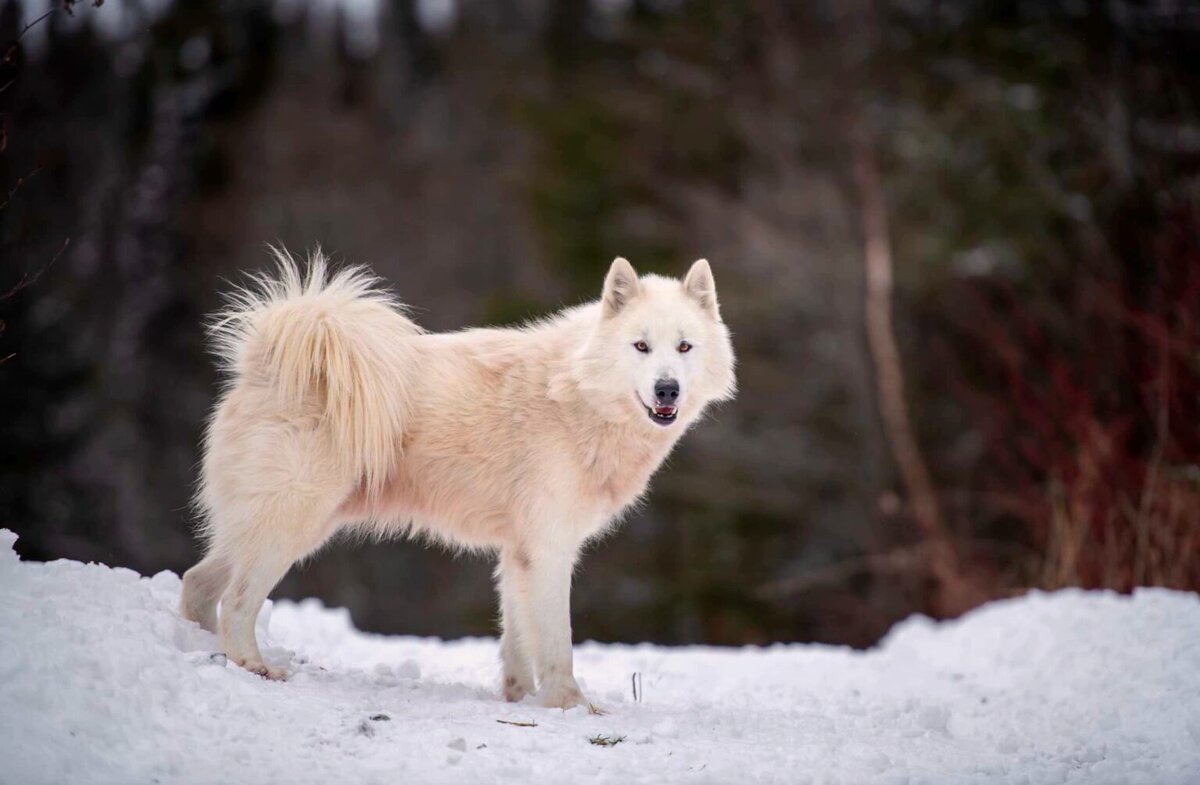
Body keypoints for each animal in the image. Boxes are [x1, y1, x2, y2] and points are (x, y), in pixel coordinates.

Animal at [181, 252, 734, 715]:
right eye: (641, 346)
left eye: (684, 346)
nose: (668, 389)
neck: (575, 395)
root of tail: (265, 361)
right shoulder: (550, 553)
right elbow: (557, 643)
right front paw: (571, 706)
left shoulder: (517, 555)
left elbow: (516, 642)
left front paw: (520, 700)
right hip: (289, 527)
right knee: (237, 600)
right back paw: (253, 666)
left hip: (270, 528)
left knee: (197, 583)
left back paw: (197, 645)